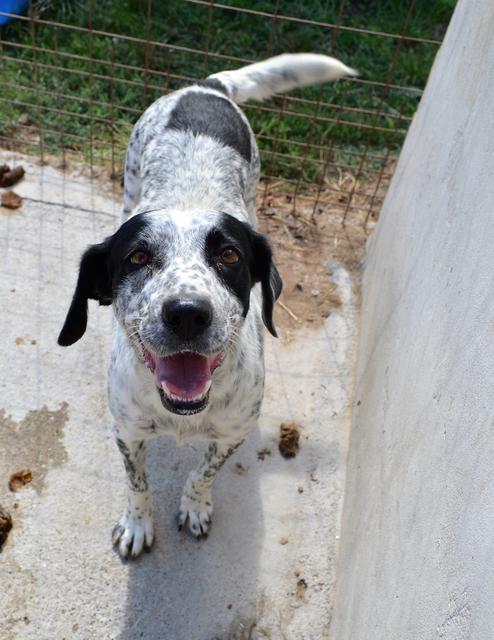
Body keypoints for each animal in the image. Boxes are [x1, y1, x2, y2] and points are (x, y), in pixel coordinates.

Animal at [58, 52, 356, 556]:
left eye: (230, 255)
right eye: (137, 256)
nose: (186, 313)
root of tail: (206, 86)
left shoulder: (232, 433)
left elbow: (203, 472)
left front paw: (195, 506)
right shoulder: (126, 431)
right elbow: (137, 483)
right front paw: (138, 523)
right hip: (131, 174)